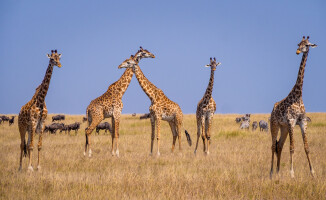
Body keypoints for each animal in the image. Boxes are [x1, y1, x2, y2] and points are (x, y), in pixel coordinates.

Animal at [268, 36, 318, 178]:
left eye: (307, 45)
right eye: (298, 44)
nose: (297, 51)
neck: (298, 95)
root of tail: (272, 109)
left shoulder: (302, 122)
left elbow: (307, 147)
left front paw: (313, 173)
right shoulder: (291, 121)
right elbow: (292, 147)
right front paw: (292, 174)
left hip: (283, 128)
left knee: (279, 145)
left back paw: (278, 172)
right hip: (274, 125)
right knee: (273, 146)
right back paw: (271, 173)